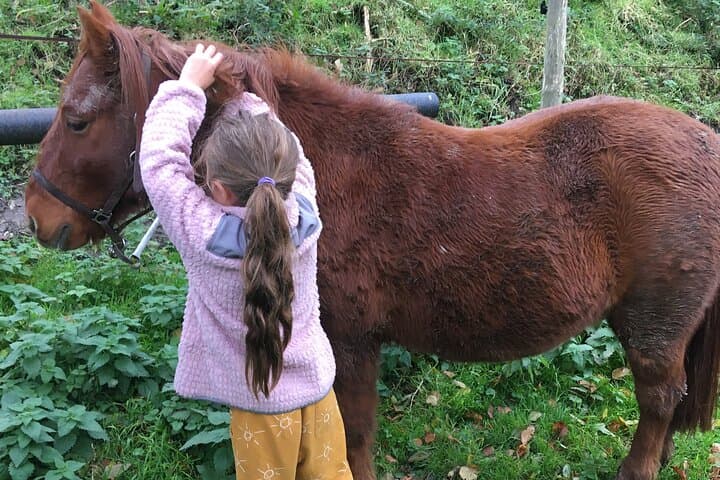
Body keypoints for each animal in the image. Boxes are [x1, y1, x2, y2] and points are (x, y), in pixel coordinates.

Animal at [24, 2, 720, 479]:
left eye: (77, 120)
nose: (35, 218)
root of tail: (705, 143)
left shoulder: (352, 344)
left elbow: (353, 437)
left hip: (654, 327)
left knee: (658, 399)